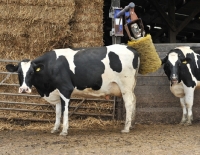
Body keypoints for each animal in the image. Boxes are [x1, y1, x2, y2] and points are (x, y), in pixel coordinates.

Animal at [6, 44, 141, 136]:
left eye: (32, 72)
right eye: (19, 73)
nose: (24, 89)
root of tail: (131, 48)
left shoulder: (65, 89)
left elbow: (64, 111)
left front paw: (64, 131)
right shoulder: (57, 92)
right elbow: (58, 112)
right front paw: (55, 129)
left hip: (126, 85)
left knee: (129, 103)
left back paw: (126, 128)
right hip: (131, 86)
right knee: (134, 101)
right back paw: (132, 125)